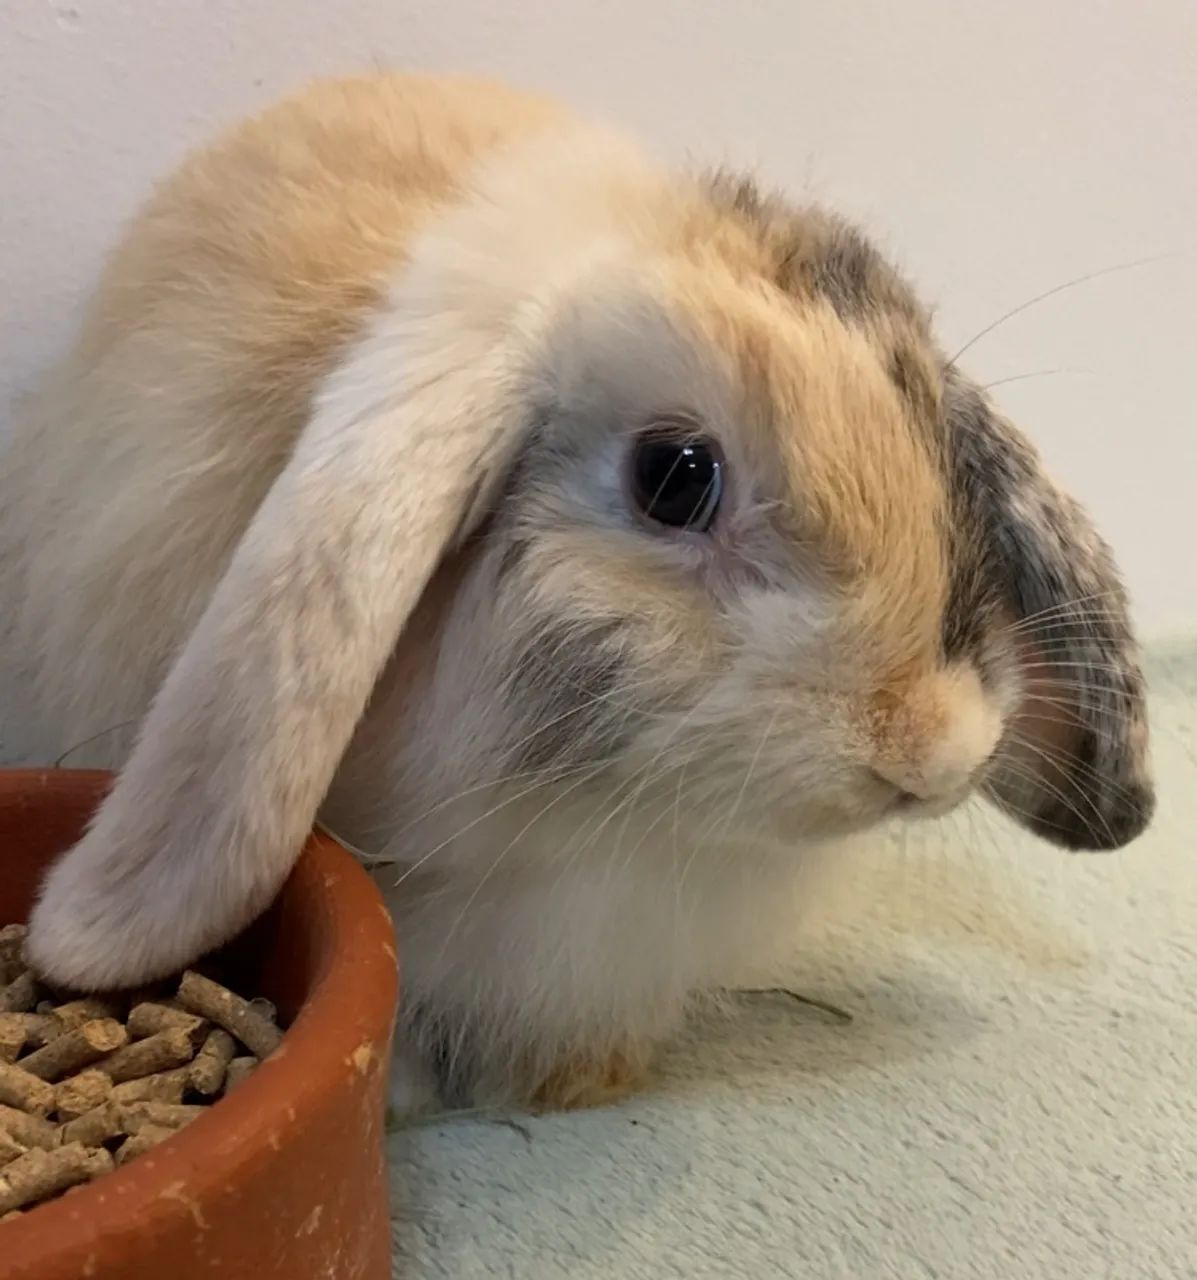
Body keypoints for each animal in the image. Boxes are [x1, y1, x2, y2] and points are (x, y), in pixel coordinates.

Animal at [0, 72, 1153, 1109]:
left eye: (931, 428)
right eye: (675, 475)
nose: (933, 752)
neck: (598, 833)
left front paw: (582, 1079)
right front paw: (411, 1095)